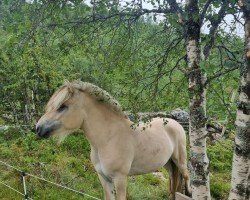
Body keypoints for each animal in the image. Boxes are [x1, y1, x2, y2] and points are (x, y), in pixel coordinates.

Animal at [36, 80, 190, 199]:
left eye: (62, 106)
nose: (38, 128)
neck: (108, 139)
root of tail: (176, 124)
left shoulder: (120, 178)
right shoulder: (103, 178)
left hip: (180, 161)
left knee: (187, 180)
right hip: (168, 164)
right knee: (173, 184)